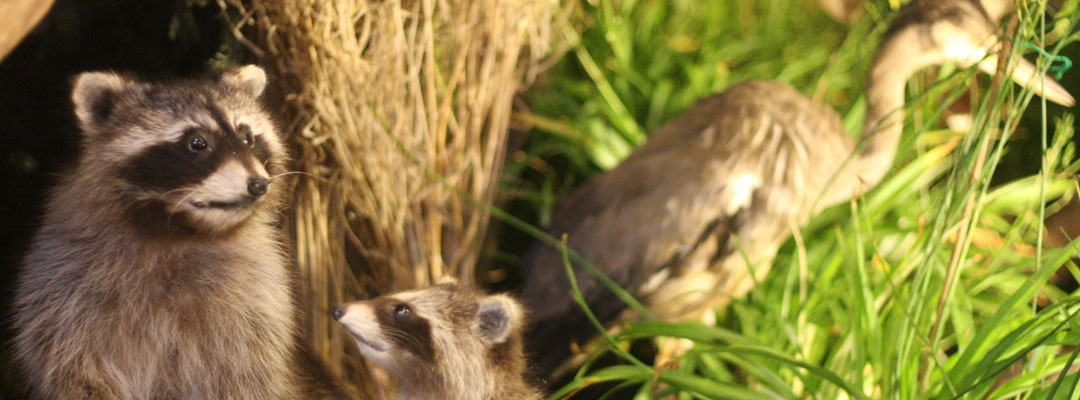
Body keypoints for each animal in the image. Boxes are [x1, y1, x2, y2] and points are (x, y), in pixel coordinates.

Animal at [14, 66, 347, 399]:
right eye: (197, 143)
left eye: (248, 136)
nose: (259, 184)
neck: (181, 230)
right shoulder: (64, 289)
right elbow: (77, 372)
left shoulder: (255, 303)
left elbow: (247, 377)